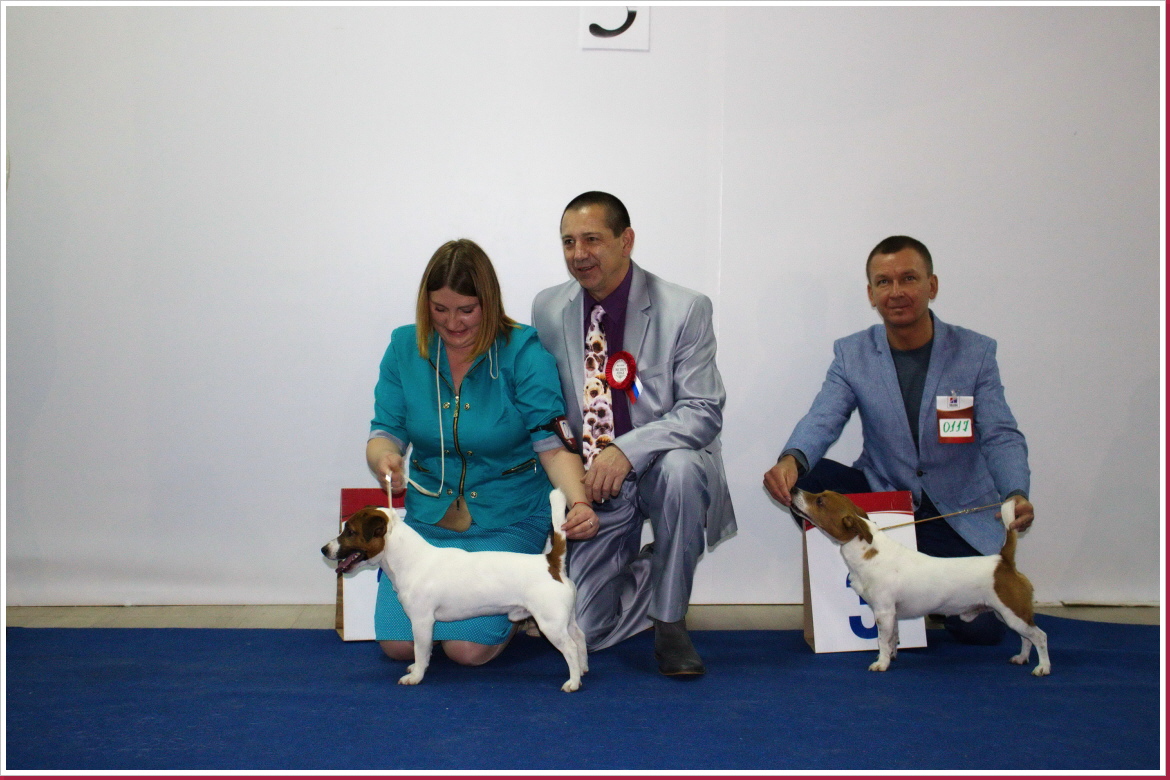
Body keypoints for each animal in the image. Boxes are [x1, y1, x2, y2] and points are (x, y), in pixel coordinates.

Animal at [321, 488, 588, 691]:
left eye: (350, 532)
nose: (324, 549)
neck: (410, 559)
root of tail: (551, 562)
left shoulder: (421, 621)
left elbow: (419, 649)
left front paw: (416, 676)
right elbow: (426, 649)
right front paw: (419, 667)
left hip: (550, 623)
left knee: (570, 648)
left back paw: (573, 682)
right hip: (566, 620)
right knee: (580, 638)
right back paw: (584, 668)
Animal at [790, 488, 1050, 676]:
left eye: (820, 501)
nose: (794, 489)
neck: (865, 549)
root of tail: (1003, 561)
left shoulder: (883, 611)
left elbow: (881, 639)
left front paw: (881, 663)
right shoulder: (891, 614)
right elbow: (892, 637)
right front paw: (892, 655)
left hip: (1012, 612)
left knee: (1039, 636)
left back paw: (1042, 667)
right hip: (1006, 613)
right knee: (1026, 637)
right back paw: (1021, 658)